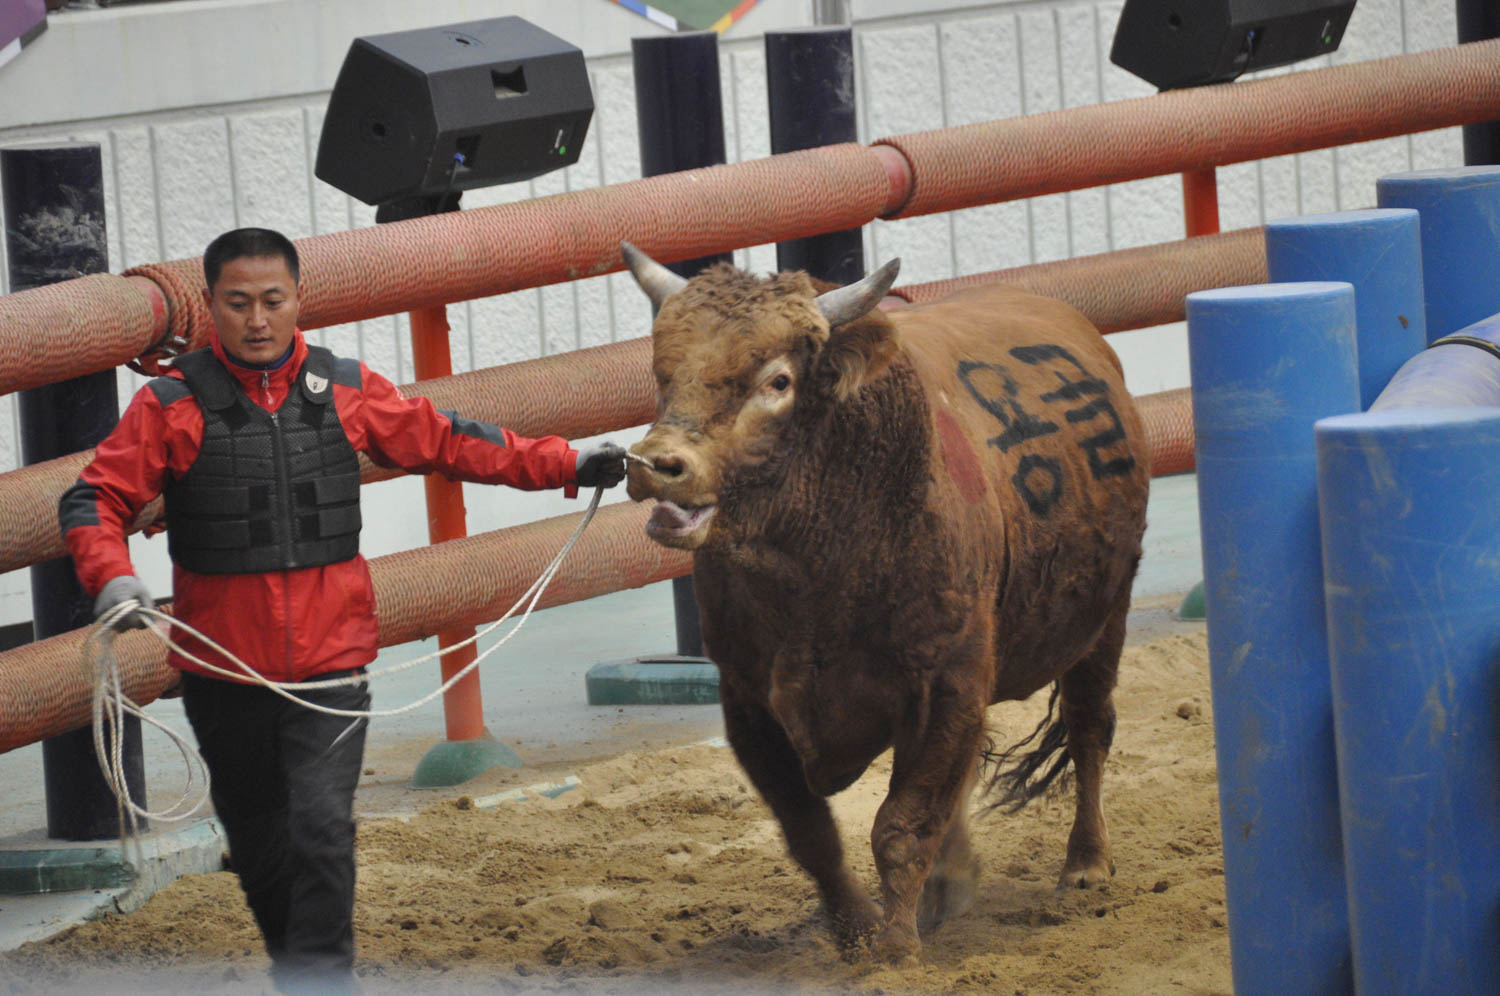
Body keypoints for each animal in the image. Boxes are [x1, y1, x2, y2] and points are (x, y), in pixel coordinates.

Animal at [618, 243, 1146, 966]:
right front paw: (857, 931)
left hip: (1104, 619)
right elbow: (811, 832)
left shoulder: (948, 686)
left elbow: (901, 825)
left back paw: (1086, 864)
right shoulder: (748, 701)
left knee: (1090, 728)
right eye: (663, 372)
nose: (655, 464)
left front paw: (895, 950)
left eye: (778, 380)